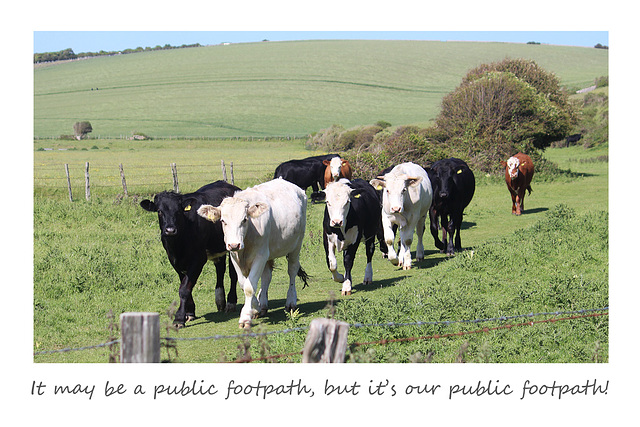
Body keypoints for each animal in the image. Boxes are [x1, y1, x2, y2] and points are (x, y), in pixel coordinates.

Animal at [140, 181, 240, 328]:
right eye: (159, 211)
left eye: (178, 211)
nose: (170, 230)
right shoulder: (174, 260)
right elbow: (185, 283)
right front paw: (189, 312)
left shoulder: (198, 259)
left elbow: (184, 288)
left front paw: (178, 318)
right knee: (220, 270)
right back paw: (220, 300)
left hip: (234, 244)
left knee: (233, 274)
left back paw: (230, 303)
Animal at [200, 177, 310, 328]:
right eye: (223, 221)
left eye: (244, 219)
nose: (234, 244)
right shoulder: (234, 257)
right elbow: (244, 284)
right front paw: (256, 307)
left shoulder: (260, 256)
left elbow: (249, 287)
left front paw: (246, 317)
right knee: (266, 277)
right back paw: (263, 304)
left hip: (296, 245)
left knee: (292, 270)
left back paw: (291, 301)